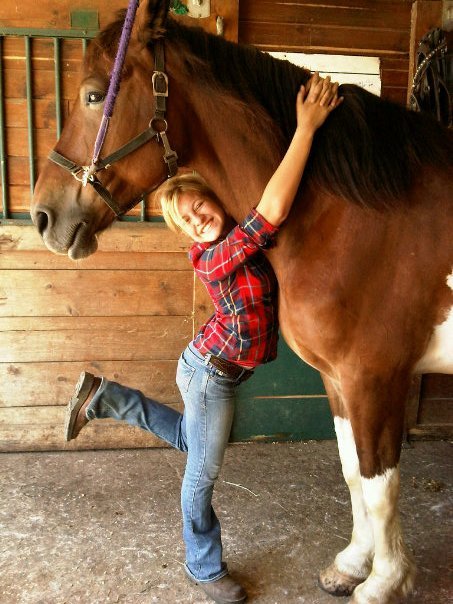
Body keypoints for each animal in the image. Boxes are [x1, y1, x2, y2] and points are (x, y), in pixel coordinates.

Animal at [30, 2, 450, 600]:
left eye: (92, 96)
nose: (43, 216)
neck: (354, 211)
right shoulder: (340, 379)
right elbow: (353, 471)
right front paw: (351, 564)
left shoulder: (375, 378)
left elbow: (381, 484)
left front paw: (385, 581)